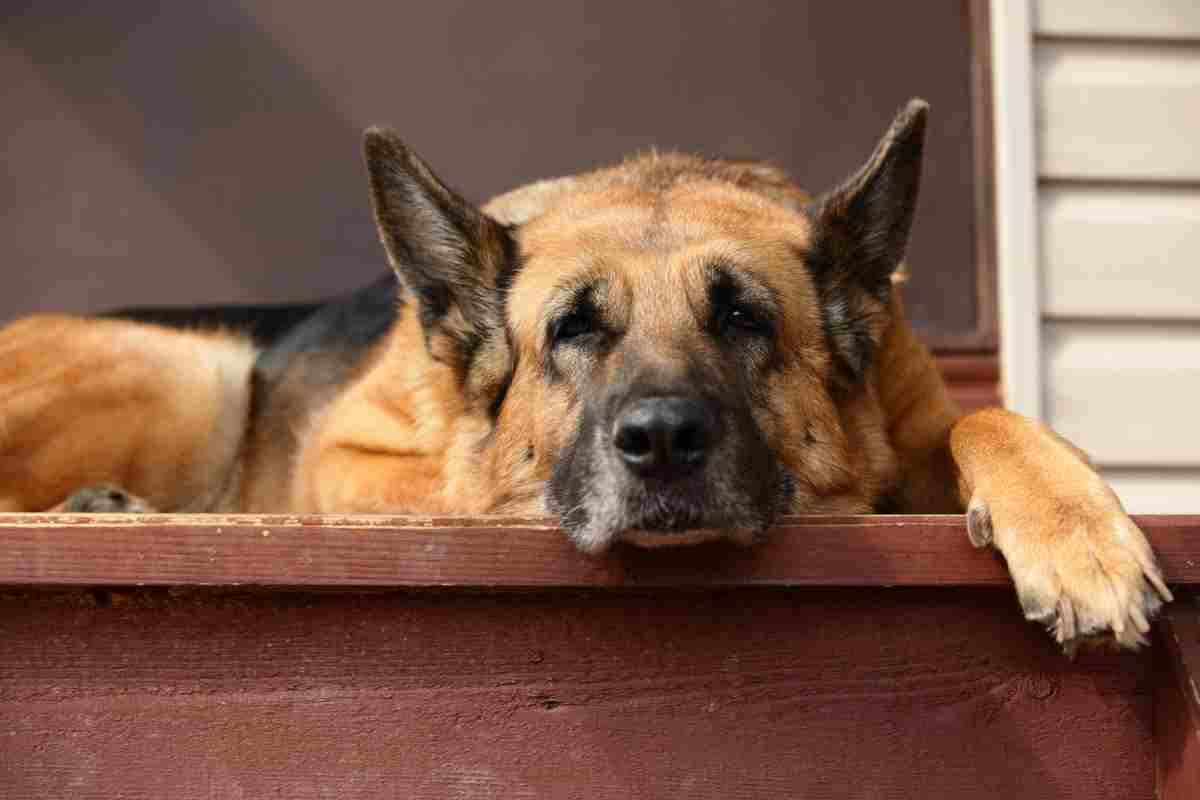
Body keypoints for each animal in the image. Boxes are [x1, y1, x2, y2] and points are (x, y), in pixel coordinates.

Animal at [0, 100, 1161, 652]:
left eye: (742, 315)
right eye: (571, 328)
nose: (660, 442)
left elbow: (989, 420)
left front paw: (1078, 535)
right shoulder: (352, 456)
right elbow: (472, 491)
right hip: (197, 366)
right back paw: (100, 507)